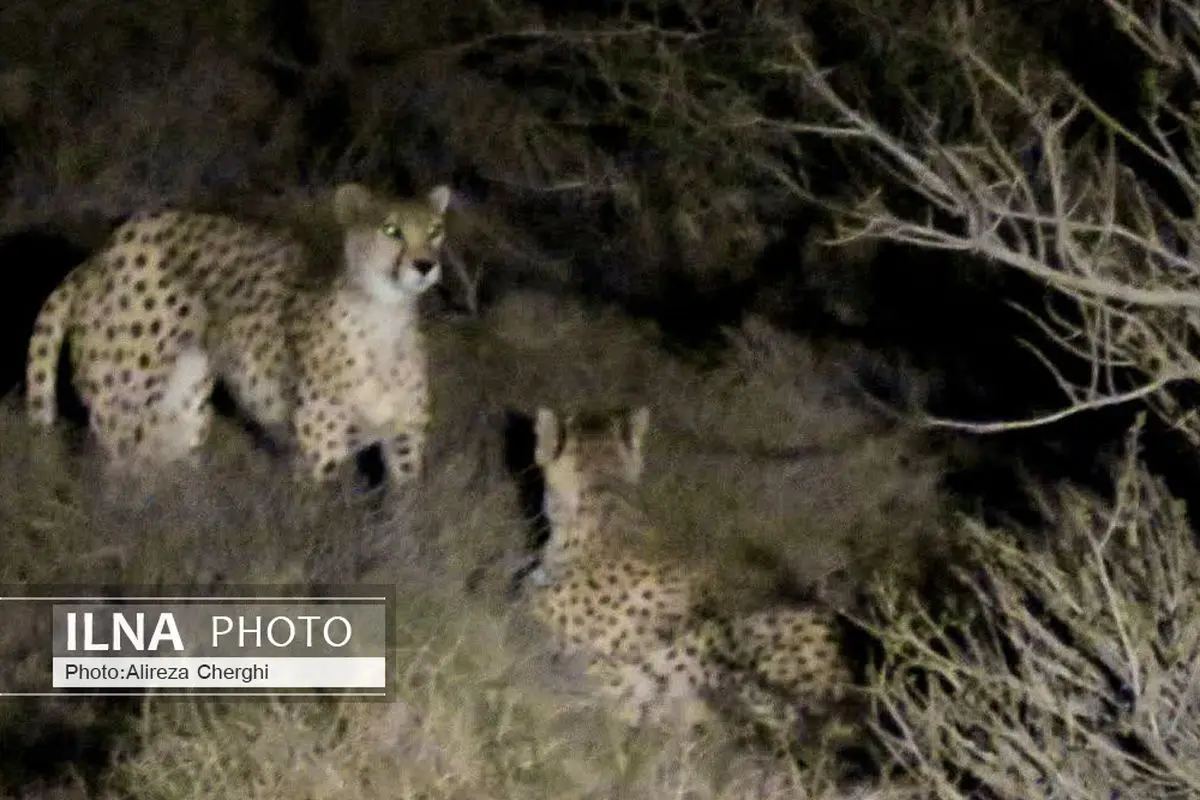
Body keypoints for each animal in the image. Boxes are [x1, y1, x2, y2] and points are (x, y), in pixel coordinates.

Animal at [27, 182, 451, 482]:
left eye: (435, 230)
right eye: (391, 229)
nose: (425, 264)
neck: (385, 315)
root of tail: (101, 252)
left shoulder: (405, 444)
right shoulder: (320, 449)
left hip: (182, 412)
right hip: (124, 403)